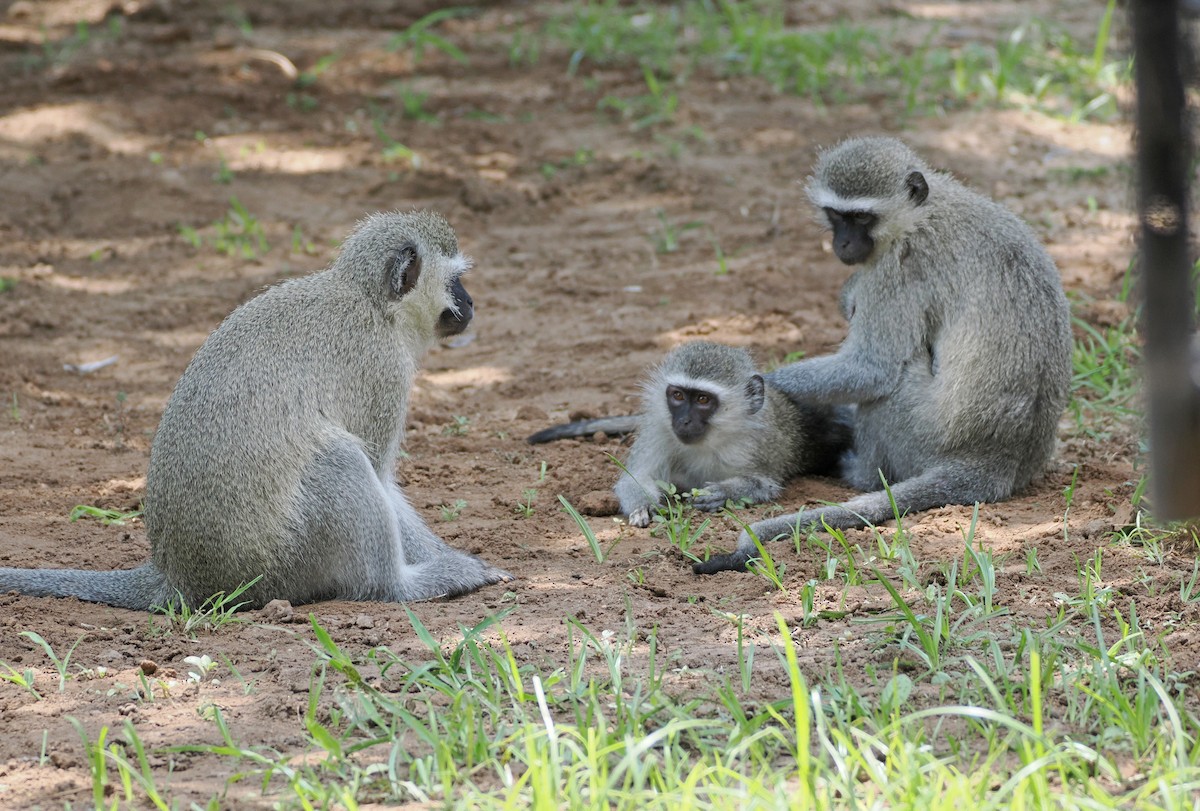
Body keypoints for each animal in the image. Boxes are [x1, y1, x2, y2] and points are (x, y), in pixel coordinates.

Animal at [0, 210, 512, 610]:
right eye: (455, 280)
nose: (471, 302)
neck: (369, 302)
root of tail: (180, 576)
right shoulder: (383, 371)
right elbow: (382, 475)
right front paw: (456, 562)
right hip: (282, 559)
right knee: (339, 459)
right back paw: (402, 586)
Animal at [528, 341, 853, 528]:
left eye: (703, 400)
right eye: (678, 396)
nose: (683, 421)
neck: (711, 439)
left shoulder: (760, 444)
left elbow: (766, 485)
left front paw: (723, 493)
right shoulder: (659, 430)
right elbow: (636, 477)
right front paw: (645, 506)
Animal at [694, 136, 1072, 575]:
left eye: (861, 218)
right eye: (836, 215)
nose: (842, 244)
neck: (922, 213)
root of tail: (999, 459)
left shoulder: (900, 268)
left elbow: (872, 369)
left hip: (920, 436)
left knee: (892, 383)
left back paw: (860, 472)